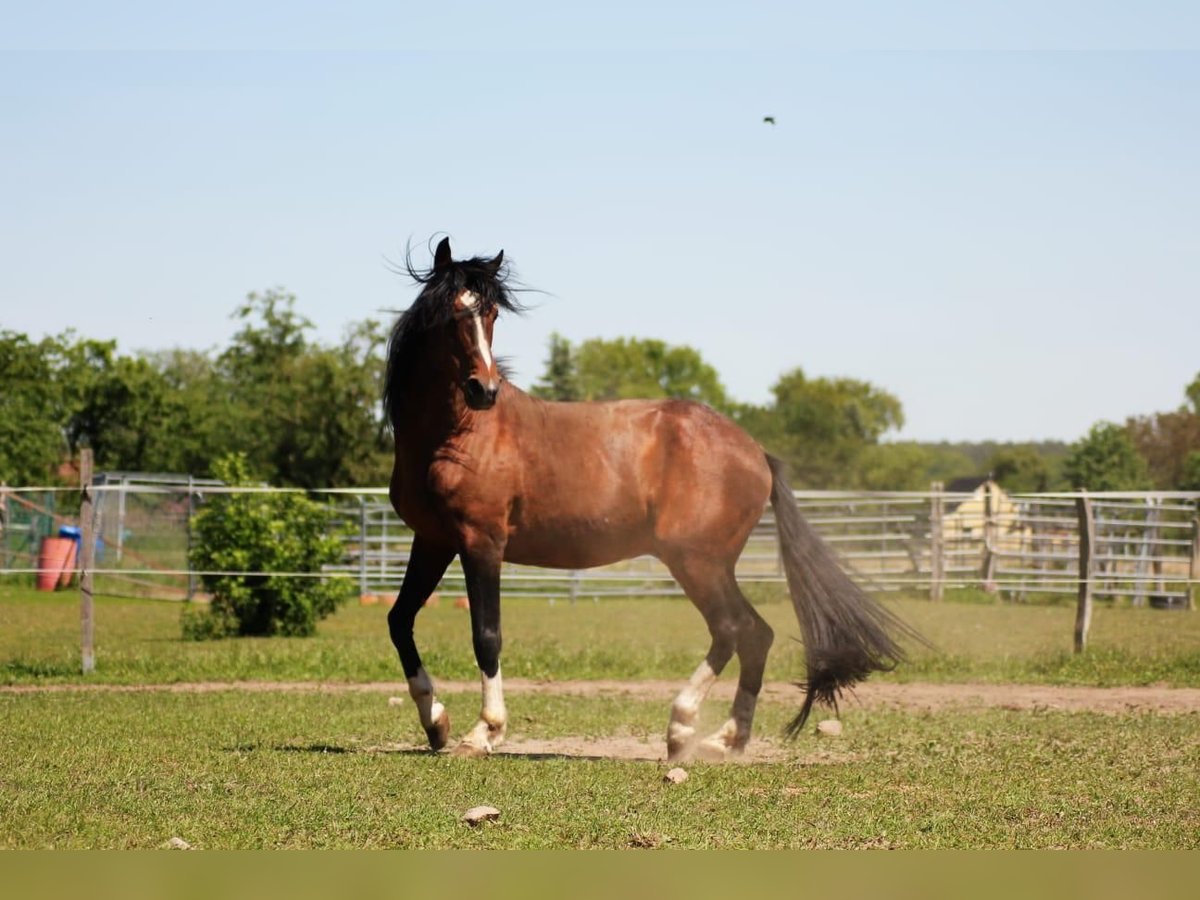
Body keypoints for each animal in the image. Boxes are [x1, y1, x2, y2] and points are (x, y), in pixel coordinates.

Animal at [386, 237, 916, 763]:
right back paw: (727, 738)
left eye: (492, 312)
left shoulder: (483, 543)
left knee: (730, 629)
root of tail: (755, 453)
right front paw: (436, 723)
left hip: (696, 561)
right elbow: (399, 619)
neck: (459, 436)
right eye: (451, 312)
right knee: (756, 634)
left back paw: (682, 728)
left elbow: (487, 635)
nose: (485, 389)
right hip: (712, 565)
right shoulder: (434, 540)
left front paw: (484, 731)